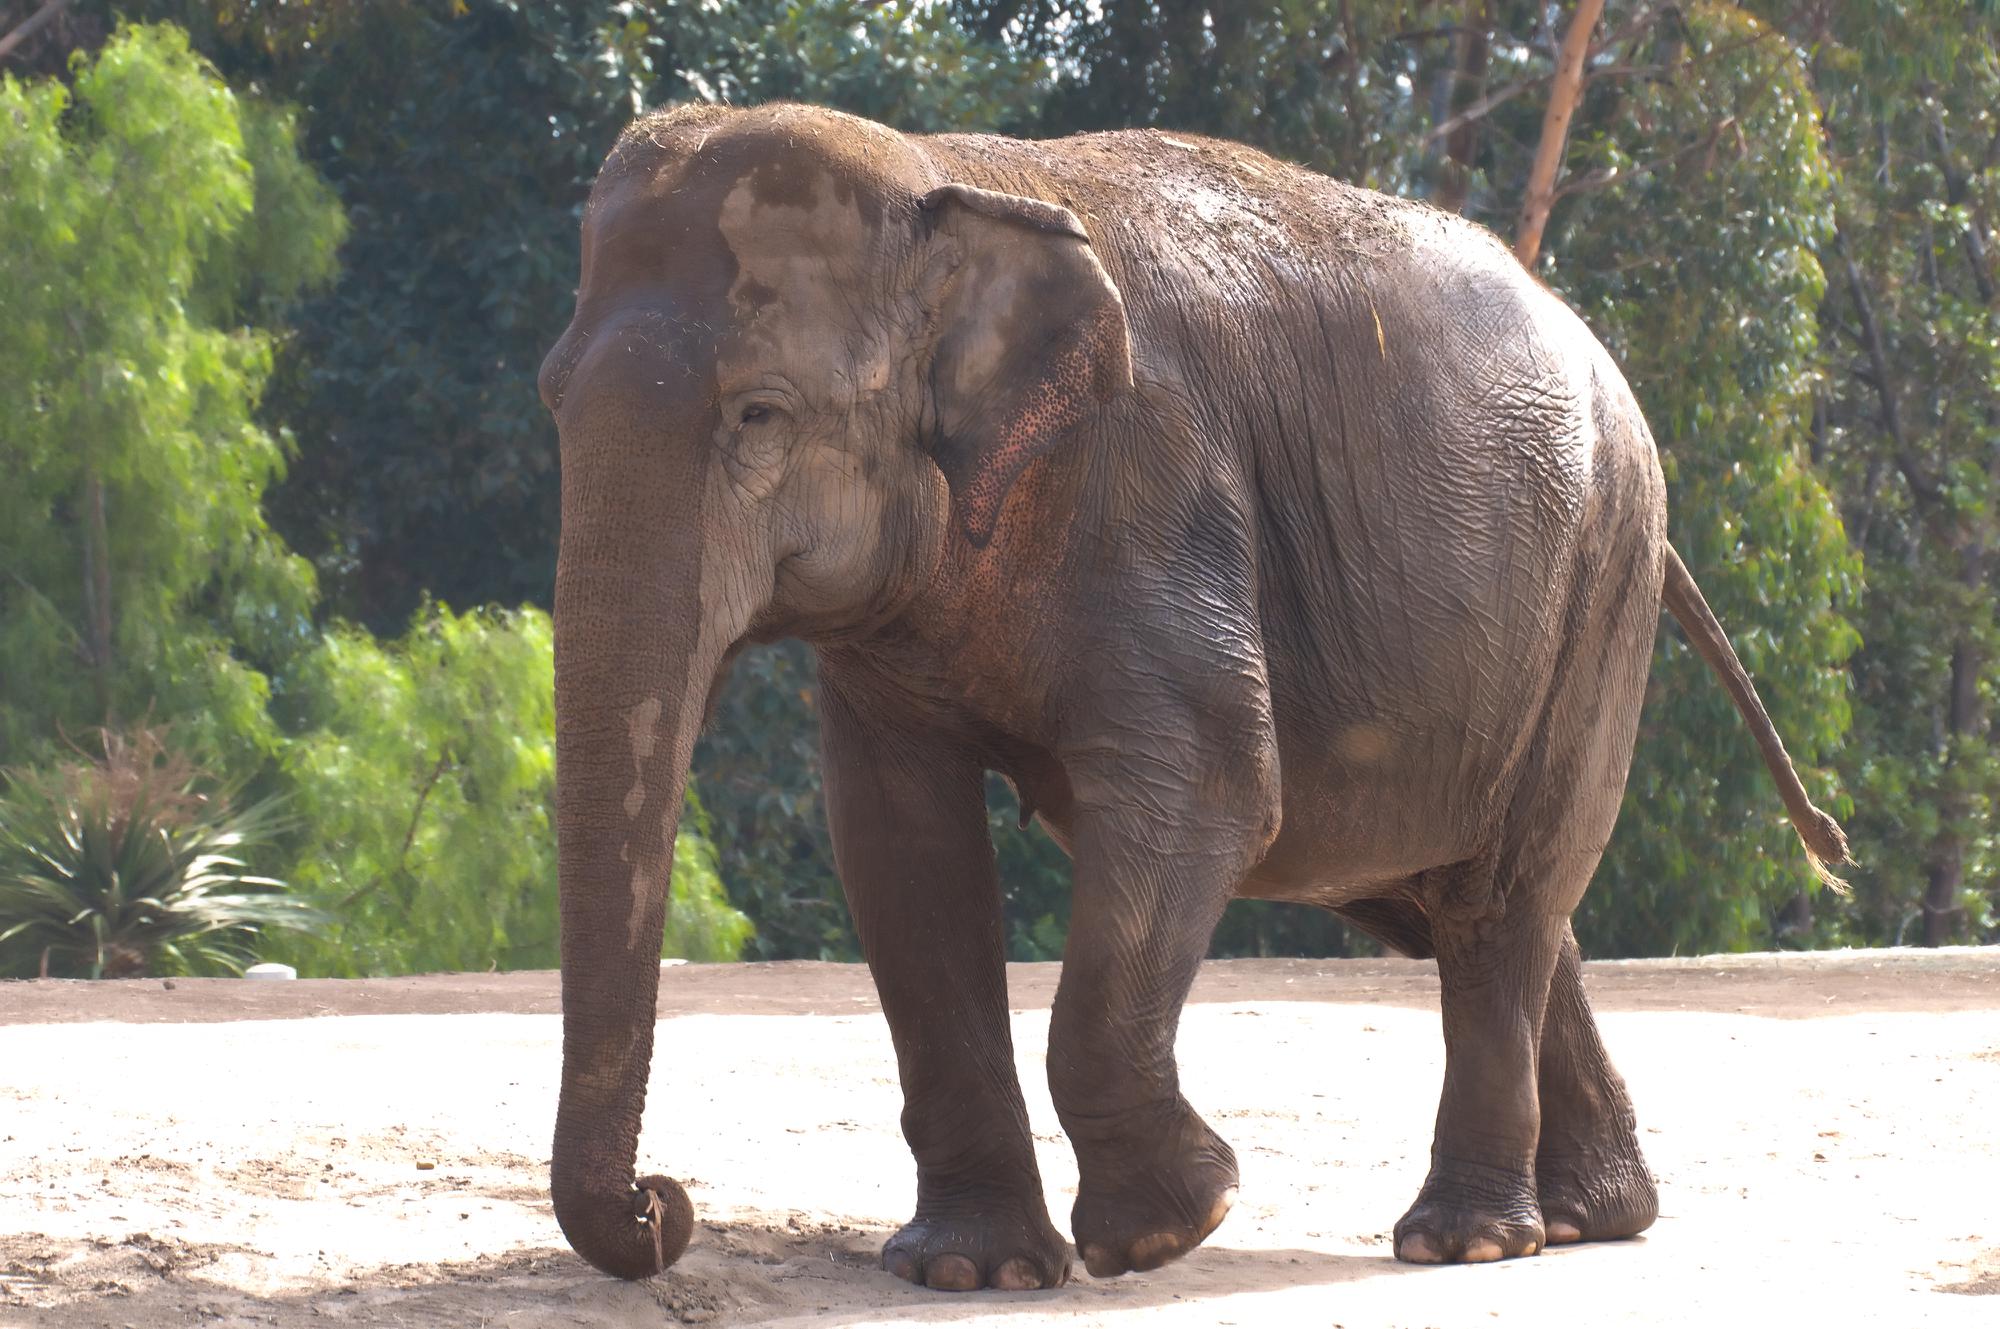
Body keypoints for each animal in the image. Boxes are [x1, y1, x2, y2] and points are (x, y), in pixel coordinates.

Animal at [540, 101, 1848, 1288]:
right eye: (552, 402)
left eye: (759, 413)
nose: (662, 1207)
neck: (947, 173)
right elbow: (899, 847)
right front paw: (968, 1270)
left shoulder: (1152, 482)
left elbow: (1206, 793)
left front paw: (1168, 1229)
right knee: (1455, 901)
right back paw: (1590, 1217)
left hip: (1596, 589)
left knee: (1503, 898)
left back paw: (1466, 1240)